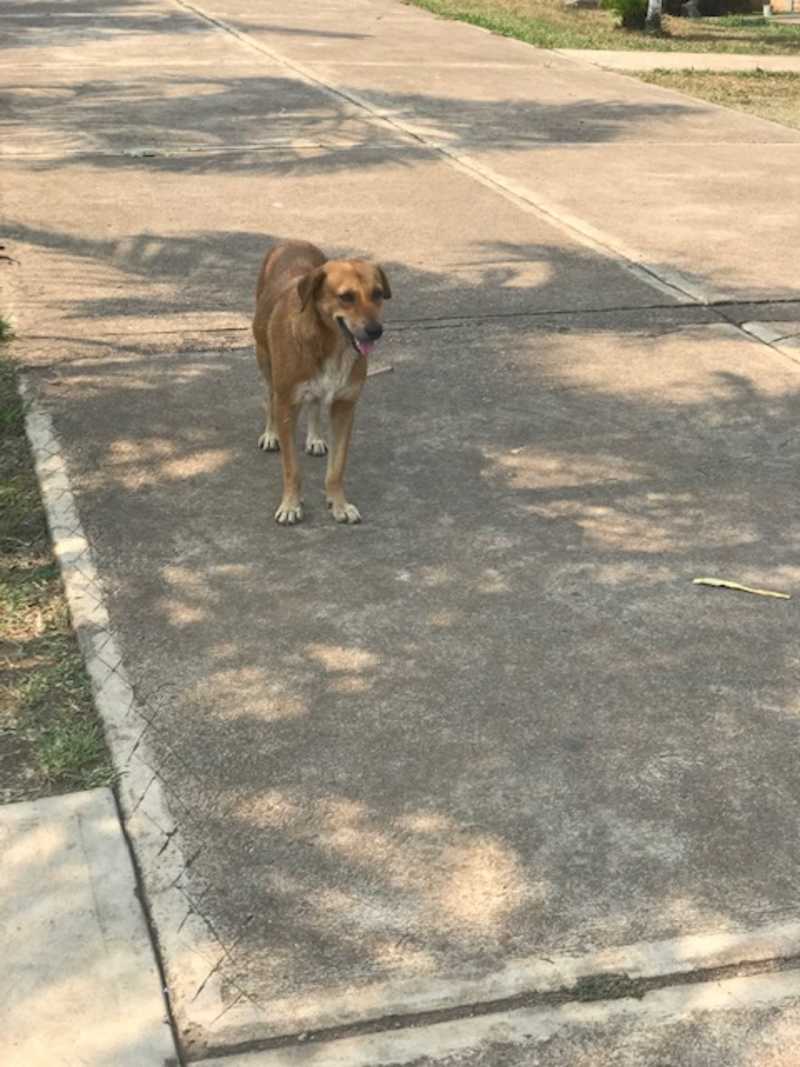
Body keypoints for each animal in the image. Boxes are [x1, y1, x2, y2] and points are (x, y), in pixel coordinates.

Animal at [252, 241, 391, 525]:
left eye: (378, 294)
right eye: (346, 297)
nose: (376, 331)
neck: (331, 346)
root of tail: (292, 241)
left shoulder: (344, 407)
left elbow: (337, 469)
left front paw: (338, 504)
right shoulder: (287, 406)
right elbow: (292, 468)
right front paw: (291, 505)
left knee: (314, 405)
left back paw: (315, 438)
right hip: (265, 361)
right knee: (269, 398)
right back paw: (270, 434)